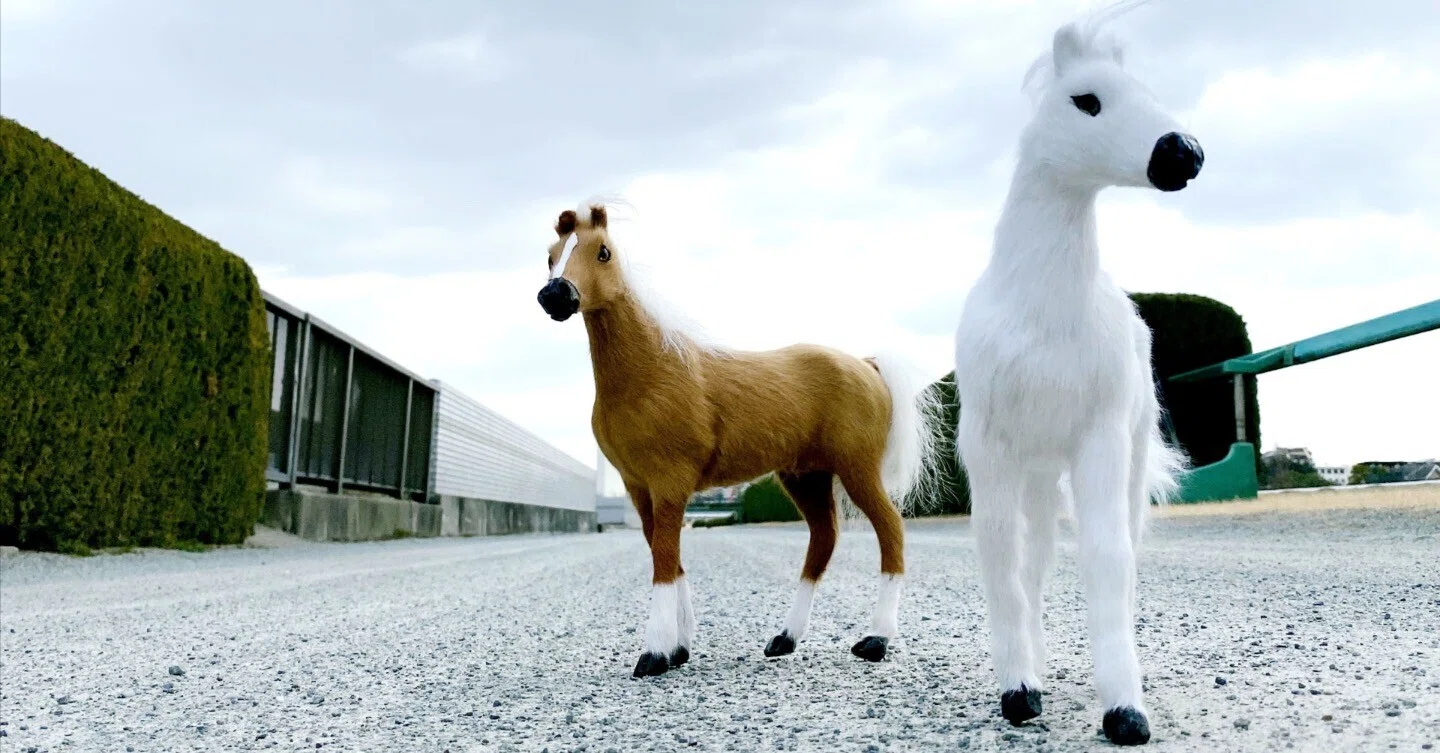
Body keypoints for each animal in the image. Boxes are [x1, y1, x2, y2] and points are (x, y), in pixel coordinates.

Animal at [537, 201, 940, 678]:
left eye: (603, 253)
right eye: (550, 255)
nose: (555, 295)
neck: (651, 370)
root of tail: (866, 364)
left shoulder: (670, 482)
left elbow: (664, 560)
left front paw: (654, 654)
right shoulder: (639, 487)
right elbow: (668, 557)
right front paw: (679, 649)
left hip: (857, 469)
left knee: (891, 530)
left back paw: (875, 640)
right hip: (806, 477)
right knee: (823, 539)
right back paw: (785, 639)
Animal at [951, 6, 1201, 746]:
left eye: (1148, 92)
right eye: (1085, 100)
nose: (1182, 152)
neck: (1039, 318)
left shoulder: (1101, 438)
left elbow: (1106, 557)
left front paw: (1124, 707)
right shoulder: (988, 446)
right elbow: (1000, 559)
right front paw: (1018, 689)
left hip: (1119, 456)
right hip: (1036, 470)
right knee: (1031, 561)